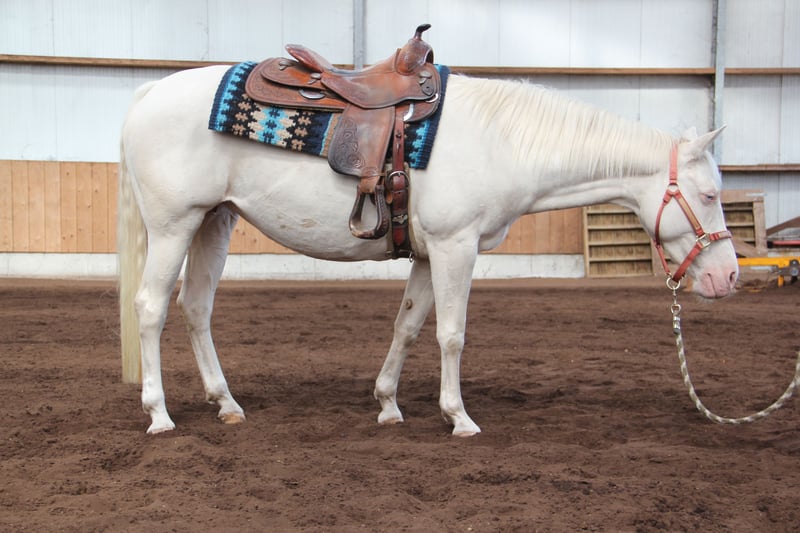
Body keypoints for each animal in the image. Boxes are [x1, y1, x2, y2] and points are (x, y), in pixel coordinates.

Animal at [118, 65, 738, 435]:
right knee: (150, 309)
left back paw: (226, 403)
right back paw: (159, 414)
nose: (729, 278)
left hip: (213, 221)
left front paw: (388, 404)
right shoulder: (454, 246)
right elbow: (451, 334)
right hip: (175, 225)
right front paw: (458, 415)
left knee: (196, 308)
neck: (502, 142)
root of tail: (147, 92)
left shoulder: (425, 254)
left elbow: (409, 326)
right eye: (710, 195)